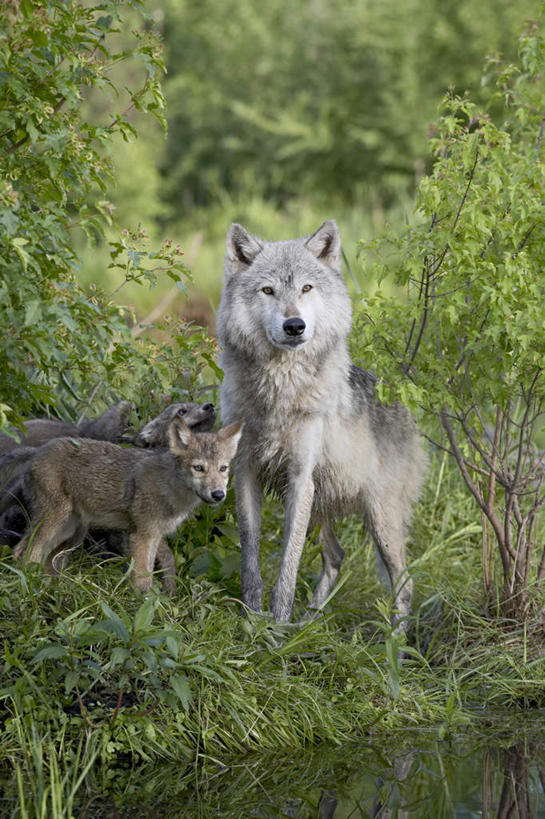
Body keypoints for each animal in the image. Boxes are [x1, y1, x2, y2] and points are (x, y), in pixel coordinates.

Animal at [216, 221, 424, 624]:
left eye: (306, 288)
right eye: (268, 290)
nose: (294, 325)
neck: (279, 392)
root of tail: (404, 406)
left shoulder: (300, 479)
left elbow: (288, 564)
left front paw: (278, 626)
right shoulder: (245, 472)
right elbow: (250, 557)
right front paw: (252, 617)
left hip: (379, 519)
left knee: (404, 583)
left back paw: (395, 640)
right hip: (320, 508)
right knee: (337, 556)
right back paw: (311, 618)